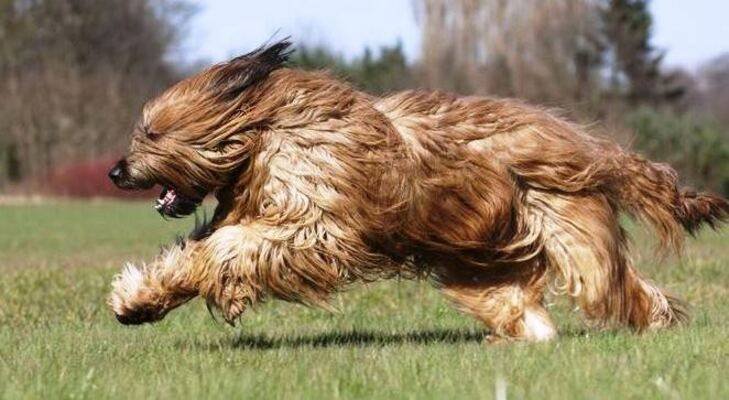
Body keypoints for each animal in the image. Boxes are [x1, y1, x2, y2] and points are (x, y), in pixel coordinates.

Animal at [105, 39, 724, 340]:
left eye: (152, 132)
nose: (115, 171)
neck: (267, 135)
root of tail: (587, 151)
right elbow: (195, 254)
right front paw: (137, 300)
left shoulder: (315, 226)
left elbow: (229, 251)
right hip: (481, 263)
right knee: (523, 306)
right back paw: (521, 337)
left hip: (573, 237)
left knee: (615, 287)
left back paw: (658, 322)